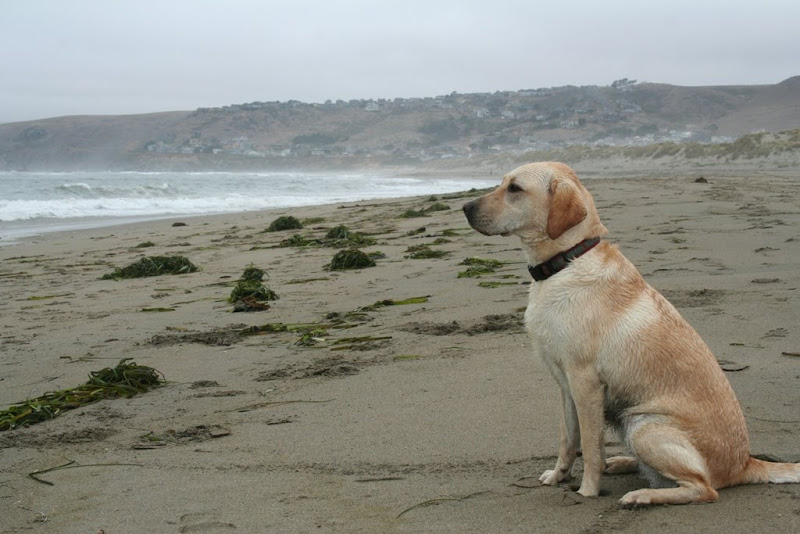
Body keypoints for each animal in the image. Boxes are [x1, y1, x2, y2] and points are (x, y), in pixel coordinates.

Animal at [462, 162, 800, 506]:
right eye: (503, 182)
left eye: (515, 189)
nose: (465, 207)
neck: (568, 260)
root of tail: (745, 463)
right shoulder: (564, 385)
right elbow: (568, 439)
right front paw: (558, 476)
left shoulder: (584, 383)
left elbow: (591, 447)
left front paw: (587, 490)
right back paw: (623, 463)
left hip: (644, 425)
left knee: (703, 488)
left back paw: (643, 496)